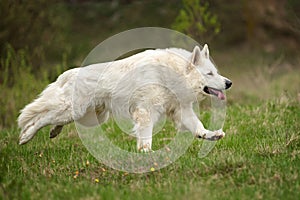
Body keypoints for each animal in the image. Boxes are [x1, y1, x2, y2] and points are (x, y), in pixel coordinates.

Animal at [18, 44, 232, 152]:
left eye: (216, 72)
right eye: (209, 73)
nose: (229, 83)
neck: (171, 74)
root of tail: (71, 72)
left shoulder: (181, 111)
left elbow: (198, 127)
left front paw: (211, 135)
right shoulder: (146, 112)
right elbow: (146, 136)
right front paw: (145, 153)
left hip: (90, 116)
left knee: (52, 120)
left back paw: (54, 131)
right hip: (72, 111)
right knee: (41, 118)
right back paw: (26, 136)